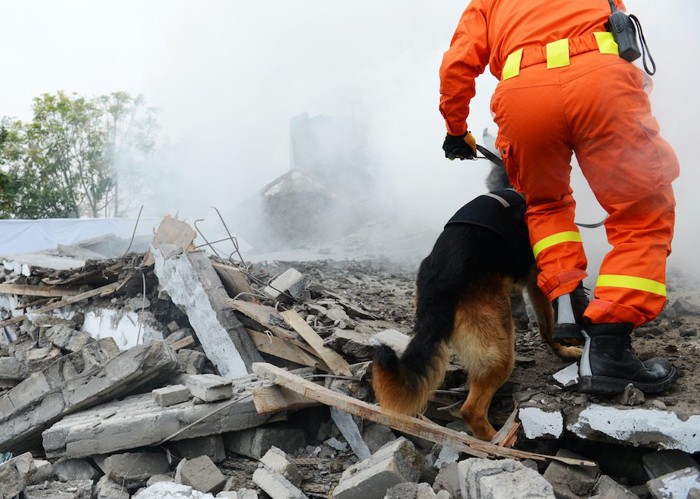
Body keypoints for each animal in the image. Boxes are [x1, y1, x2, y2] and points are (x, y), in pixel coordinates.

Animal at [372, 153, 580, 442]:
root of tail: (439, 287)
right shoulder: (537, 280)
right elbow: (548, 324)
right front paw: (563, 349)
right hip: (499, 349)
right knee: (471, 410)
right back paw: (500, 441)